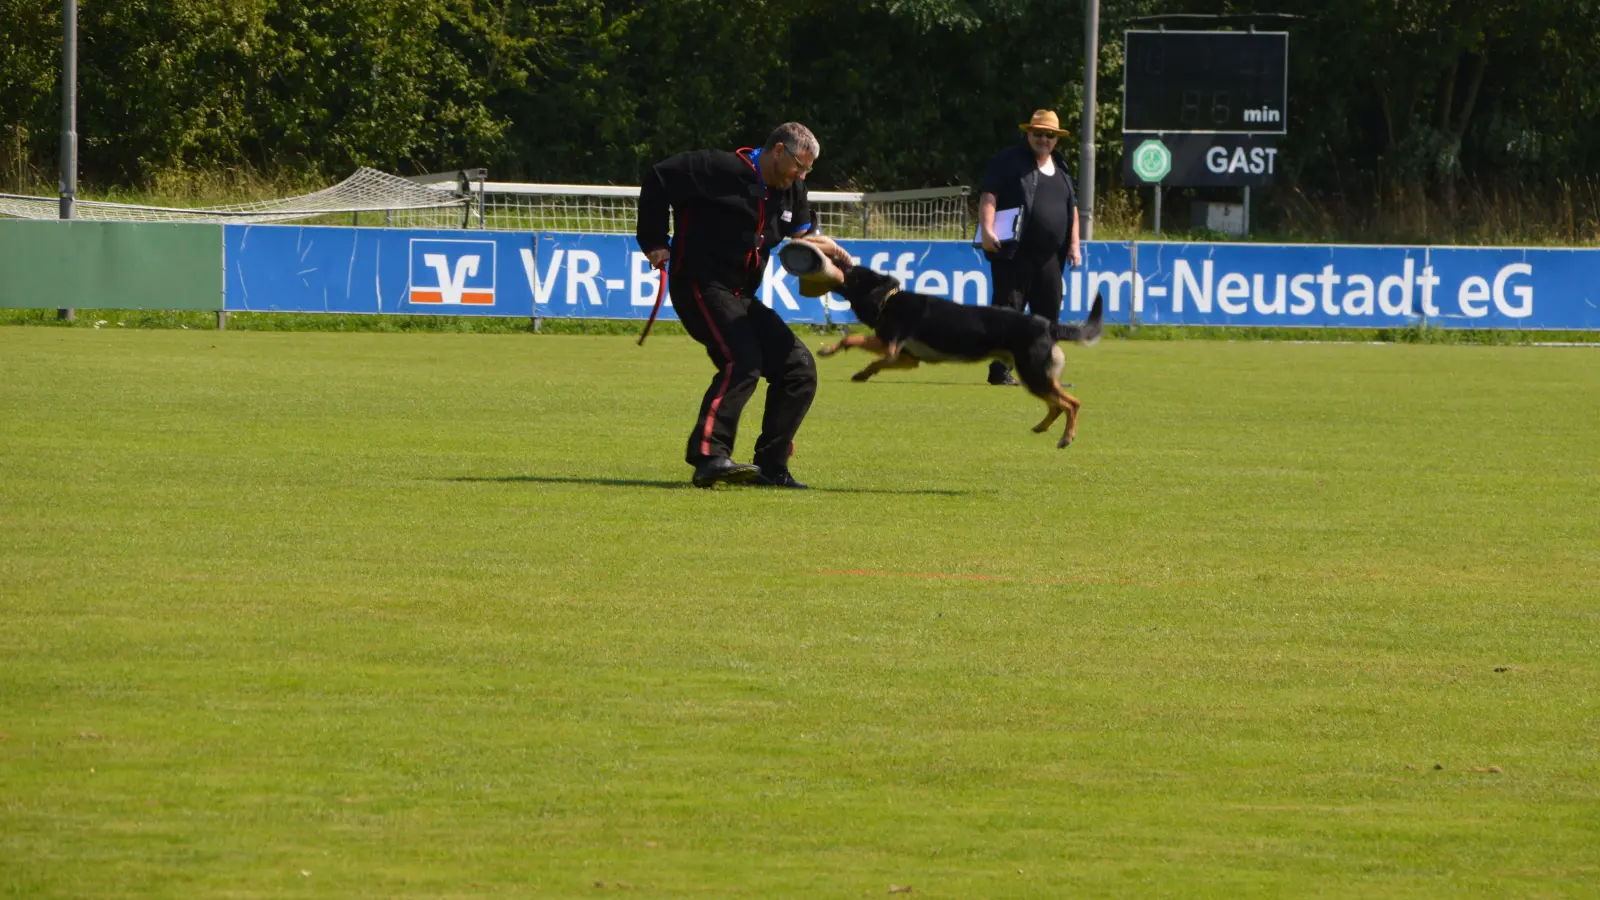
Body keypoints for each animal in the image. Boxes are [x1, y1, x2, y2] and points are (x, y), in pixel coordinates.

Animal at [819, 262, 1107, 448]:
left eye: (852, 275)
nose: (837, 263)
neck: (888, 298)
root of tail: (1048, 326)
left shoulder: (888, 344)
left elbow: (850, 338)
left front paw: (828, 349)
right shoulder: (905, 357)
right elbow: (876, 362)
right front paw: (862, 374)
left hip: (1033, 374)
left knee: (1071, 403)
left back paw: (1066, 438)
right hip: (1033, 377)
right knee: (1056, 404)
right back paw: (1042, 427)